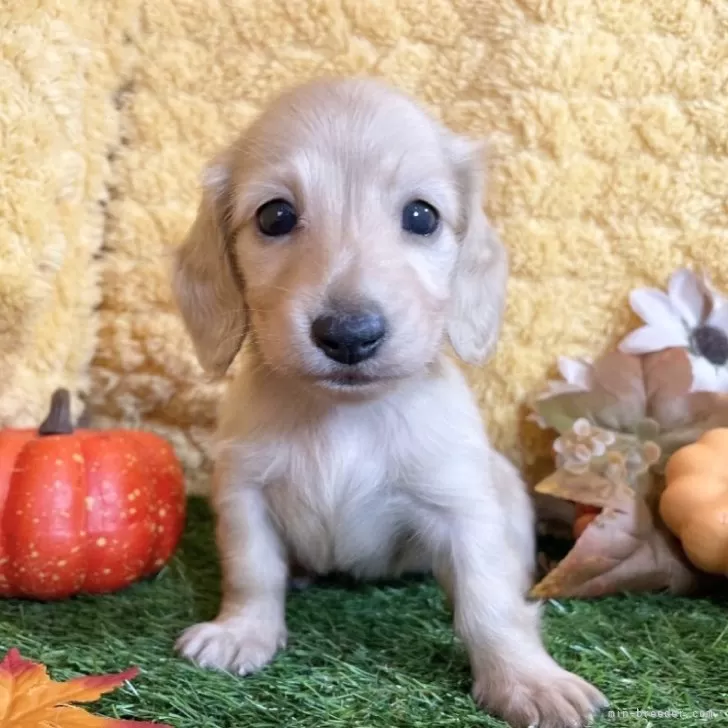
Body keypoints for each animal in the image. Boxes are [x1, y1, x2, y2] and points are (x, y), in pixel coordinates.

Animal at [169, 77, 604, 724]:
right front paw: (242, 631)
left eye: (421, 216)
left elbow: (489, 602)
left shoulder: (461, 508)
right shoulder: (244, 492)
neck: (344, 417)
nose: (349, 335)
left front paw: (525, 678)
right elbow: (253, 571)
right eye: (275, 215)